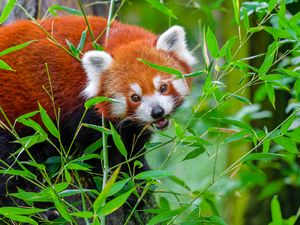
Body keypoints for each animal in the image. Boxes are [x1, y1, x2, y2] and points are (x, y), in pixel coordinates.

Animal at [0, 15, 195, 207]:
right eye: (135, 97)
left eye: (163, 87)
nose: (157, 112)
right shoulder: (83, 113)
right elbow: (99, 154)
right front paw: (123, 188)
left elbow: (132, 149)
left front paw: (140, 174)